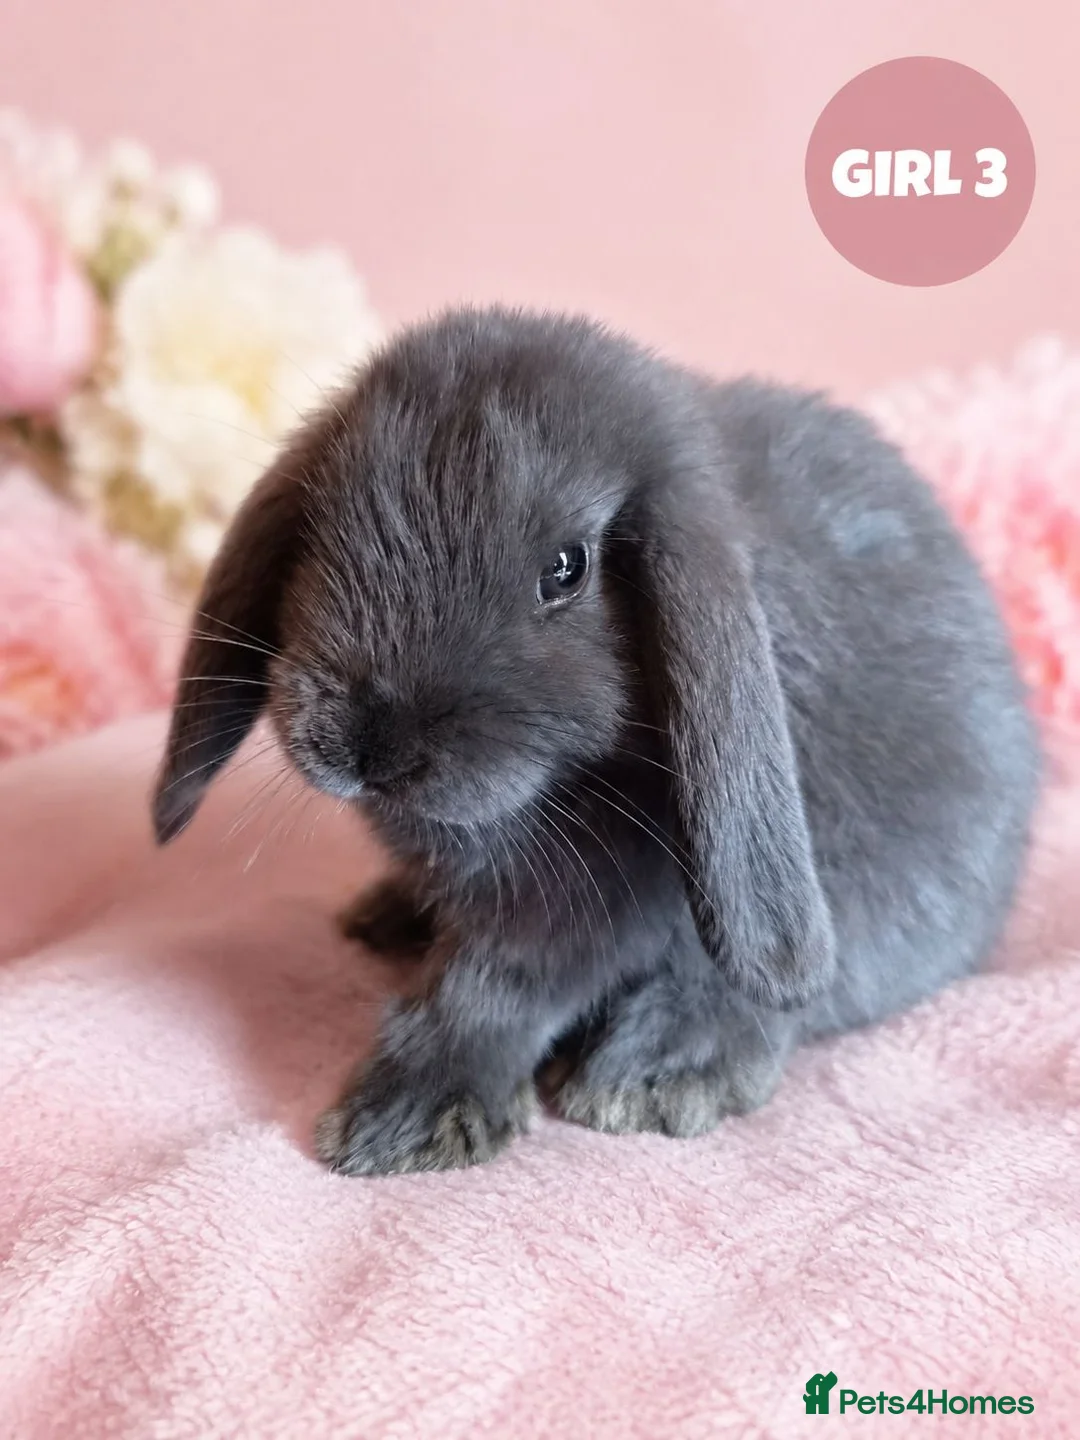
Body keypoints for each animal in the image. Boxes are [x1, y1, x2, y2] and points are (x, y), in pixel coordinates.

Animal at [152, 306, 1040, 1176]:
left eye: (566, 568)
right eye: (323, 526)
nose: (369, 748)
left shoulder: (593, 904)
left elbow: (490, 991)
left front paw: (398, 1121)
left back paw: (658, 1074)